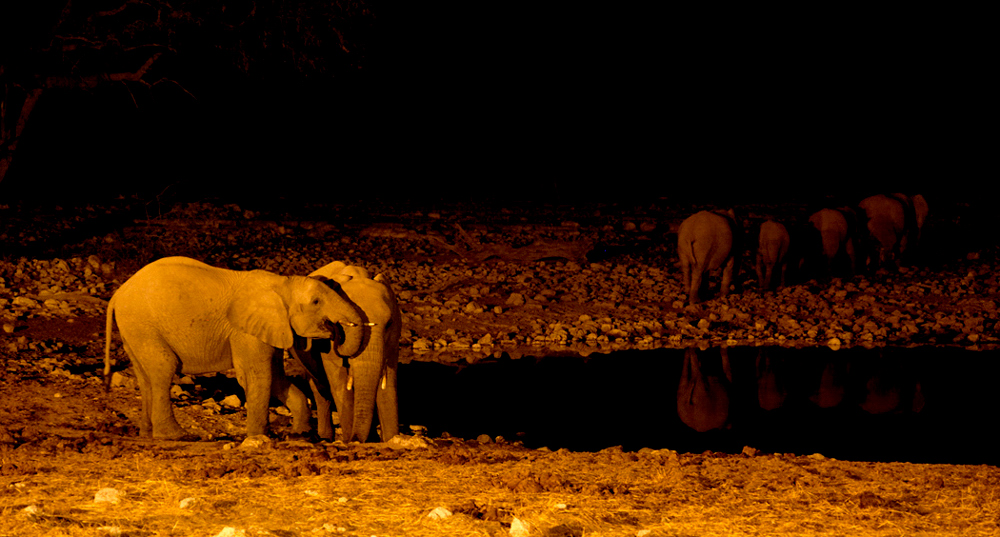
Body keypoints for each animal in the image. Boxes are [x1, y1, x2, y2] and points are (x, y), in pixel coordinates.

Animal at [103, 255, 368, 440]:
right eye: (316, 302)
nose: (335, 334)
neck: (282, 283)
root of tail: (118, 294)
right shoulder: (244, 331)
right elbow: (257, 376)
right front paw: (260, 437)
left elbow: (276, 378)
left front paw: (300, 435)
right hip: (143, 325)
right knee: (163, 369)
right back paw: (176, 436)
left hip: (134, 330)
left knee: (144, 377)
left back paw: (147, 434)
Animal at [290, 262, 402, 442]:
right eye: (341, 325)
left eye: (389, 323)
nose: (355, 439)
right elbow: (340, 381)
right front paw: (351, 439)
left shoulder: (394, 335)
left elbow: (389, 383)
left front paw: (391, 439)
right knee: (319, 388)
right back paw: (326, 437)